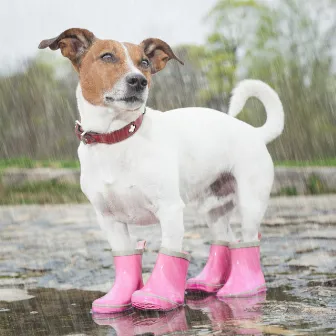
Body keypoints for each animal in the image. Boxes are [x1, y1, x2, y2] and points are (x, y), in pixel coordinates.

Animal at [38, 28, 284, 312]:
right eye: (107, 56)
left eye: (144, 62)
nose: (138, 81)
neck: (118, 138)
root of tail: (255, 132)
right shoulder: (109, 219)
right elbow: (125, 257)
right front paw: (118, 299)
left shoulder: (170, 209)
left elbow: (170, 252)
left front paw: (157, 296)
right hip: (213, 207)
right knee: (224, 239)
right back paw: (208, 283)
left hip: (250, 203)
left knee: (248, 241)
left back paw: (244, 289)